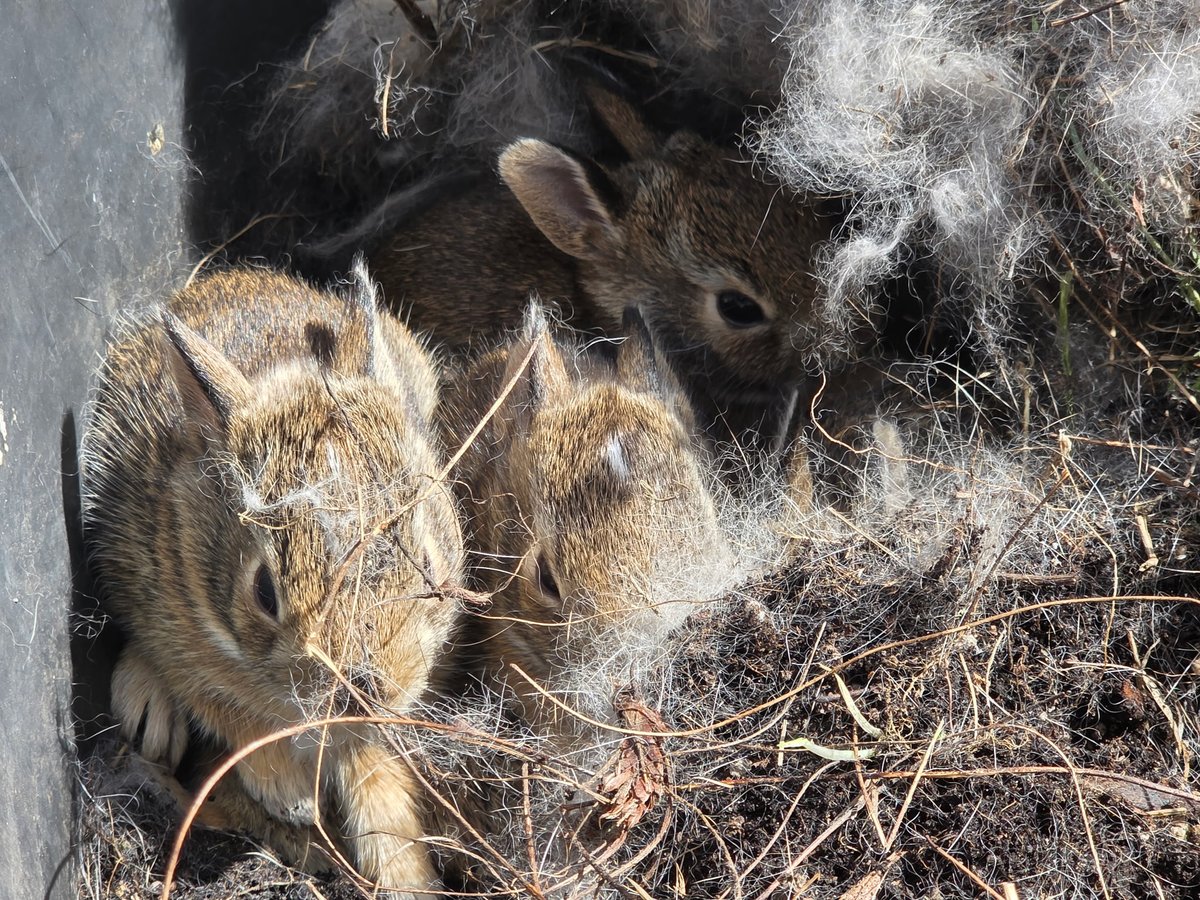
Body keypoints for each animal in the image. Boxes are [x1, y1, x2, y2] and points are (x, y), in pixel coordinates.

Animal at [79, 264, 464, 895]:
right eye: (265, 593)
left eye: (429, 568)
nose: (368, 688)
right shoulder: (180, 638)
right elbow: (229, 716)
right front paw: (290, 799)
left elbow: (373, 776)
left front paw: (406, 875)